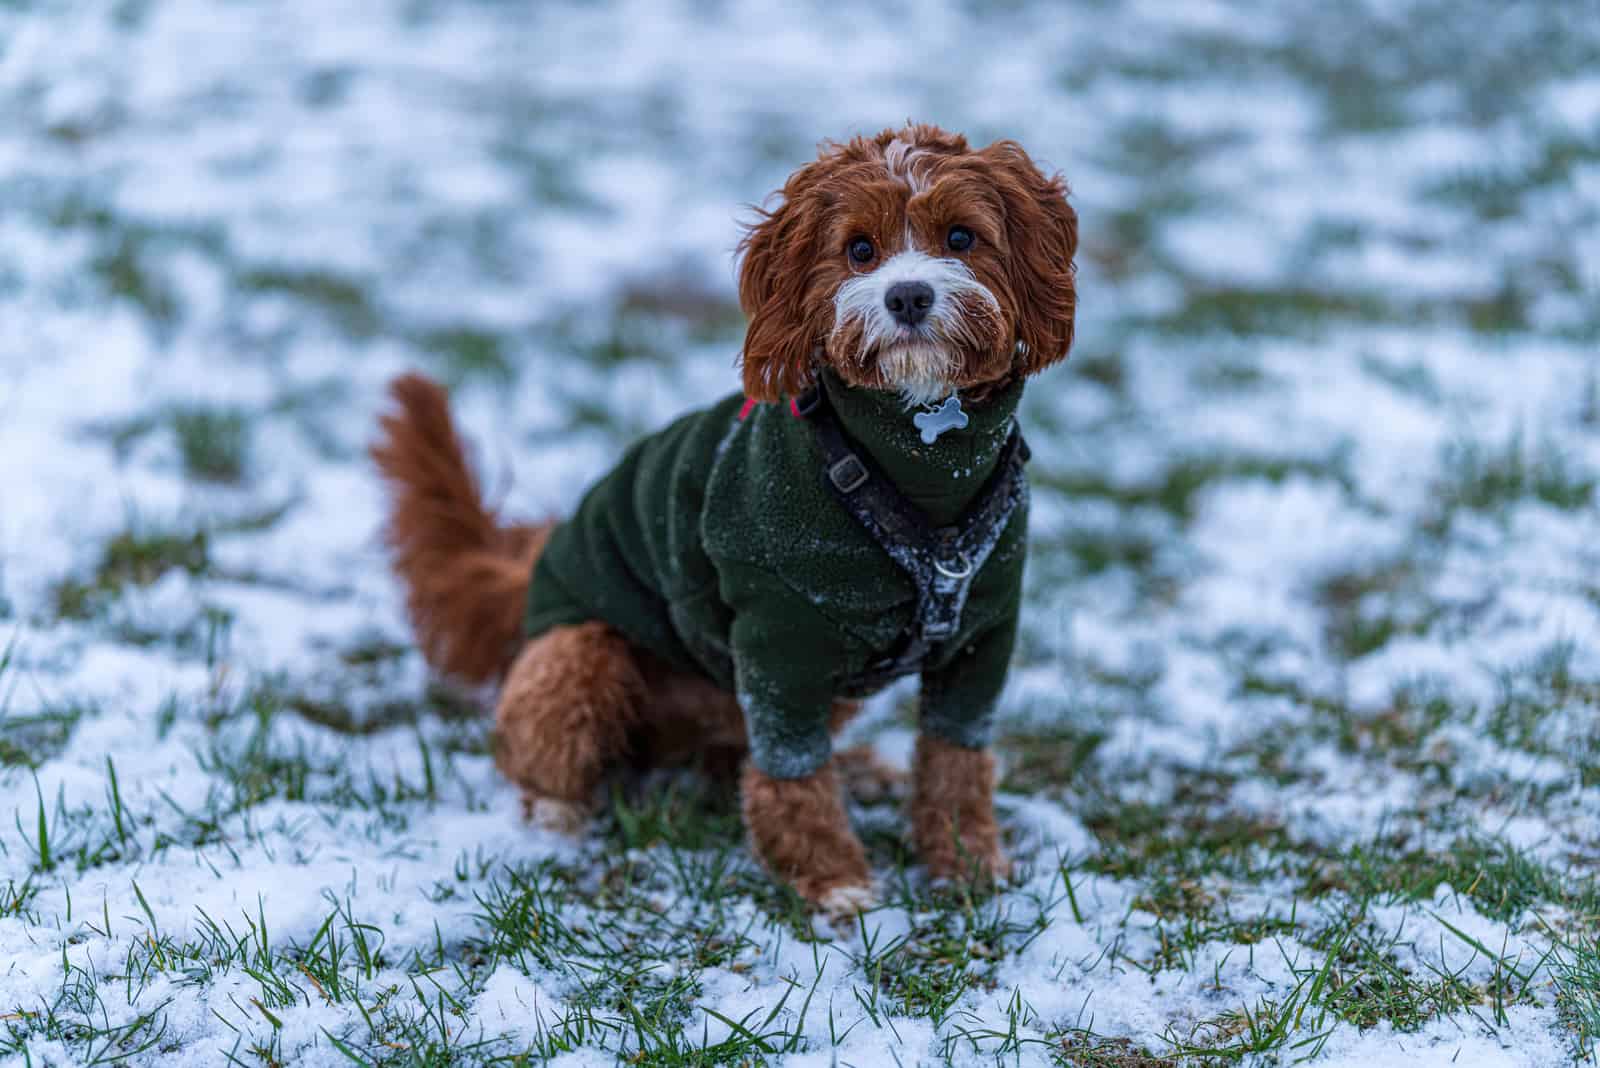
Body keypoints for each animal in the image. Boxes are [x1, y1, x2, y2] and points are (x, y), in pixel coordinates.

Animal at [372, 123, 1075, 920]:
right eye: (859, 249)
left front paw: (967, 863)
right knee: (541, 750)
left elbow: (957, 758)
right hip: (575, 652)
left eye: (961, 237)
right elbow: (792, 772)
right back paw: (554, 816)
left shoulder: (982, 632)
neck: (918, 461)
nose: (907, 295)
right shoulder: (780, 632)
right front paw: (831, 879)